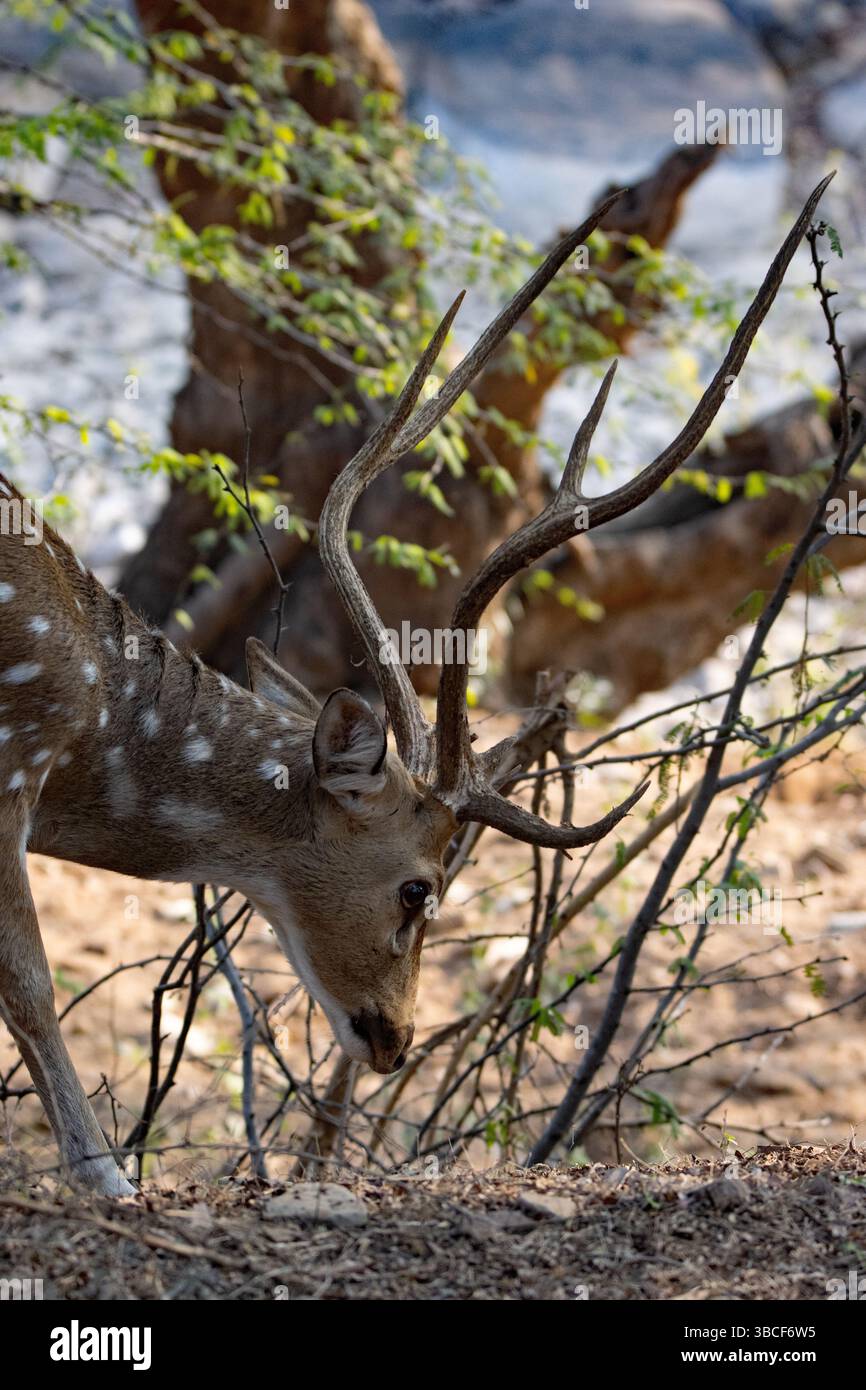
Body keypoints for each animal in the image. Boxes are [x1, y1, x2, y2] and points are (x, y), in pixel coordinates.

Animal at [0, 177, 831, 1196]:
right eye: (417, 889)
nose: (397, 1039)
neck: (86, 712)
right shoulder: (9, 765)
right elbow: (31, 986)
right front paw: (107, 1176)